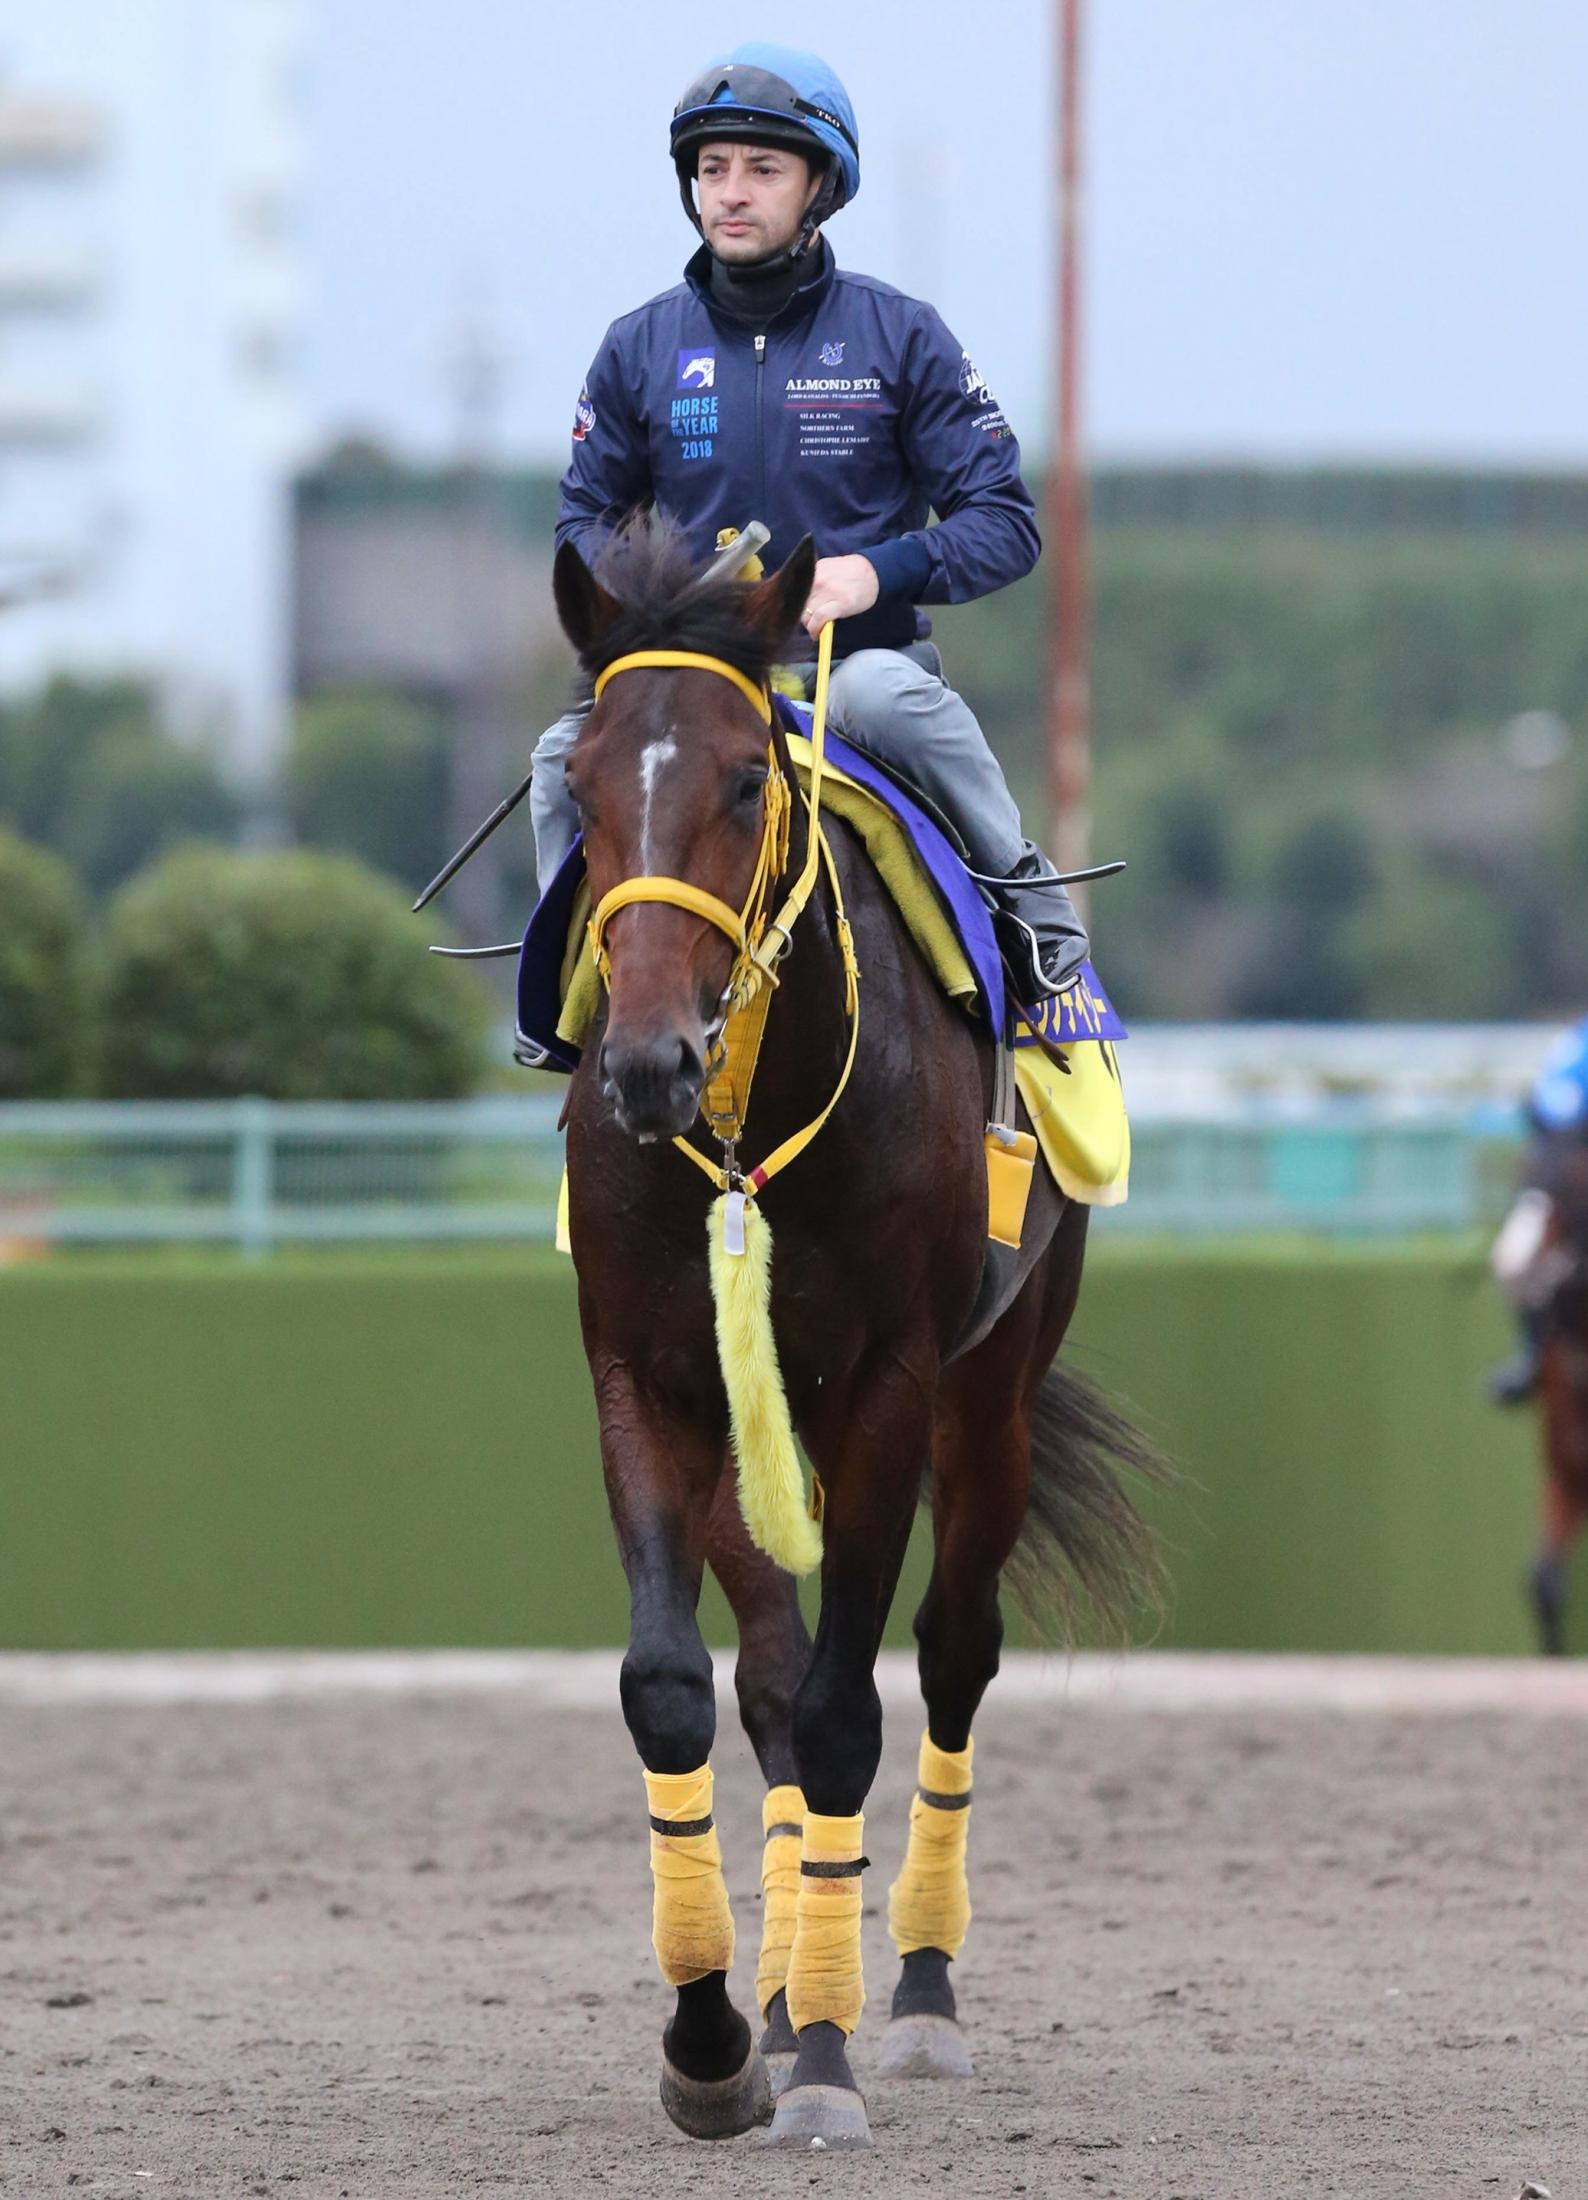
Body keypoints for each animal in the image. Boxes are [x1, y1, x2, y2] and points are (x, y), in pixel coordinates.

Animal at [549, 514, 1143, 2147]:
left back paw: (920, 1993)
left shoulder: (885, 1392)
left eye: (746, 781)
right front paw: (715, 2038)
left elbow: (842, 1714)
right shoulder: (659, 1381)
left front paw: (821, 2056)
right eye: (581, 786)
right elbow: (680, 1689)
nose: (646, 1062)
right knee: (765, 1672)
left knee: (949, 1653)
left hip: (993, 1389)